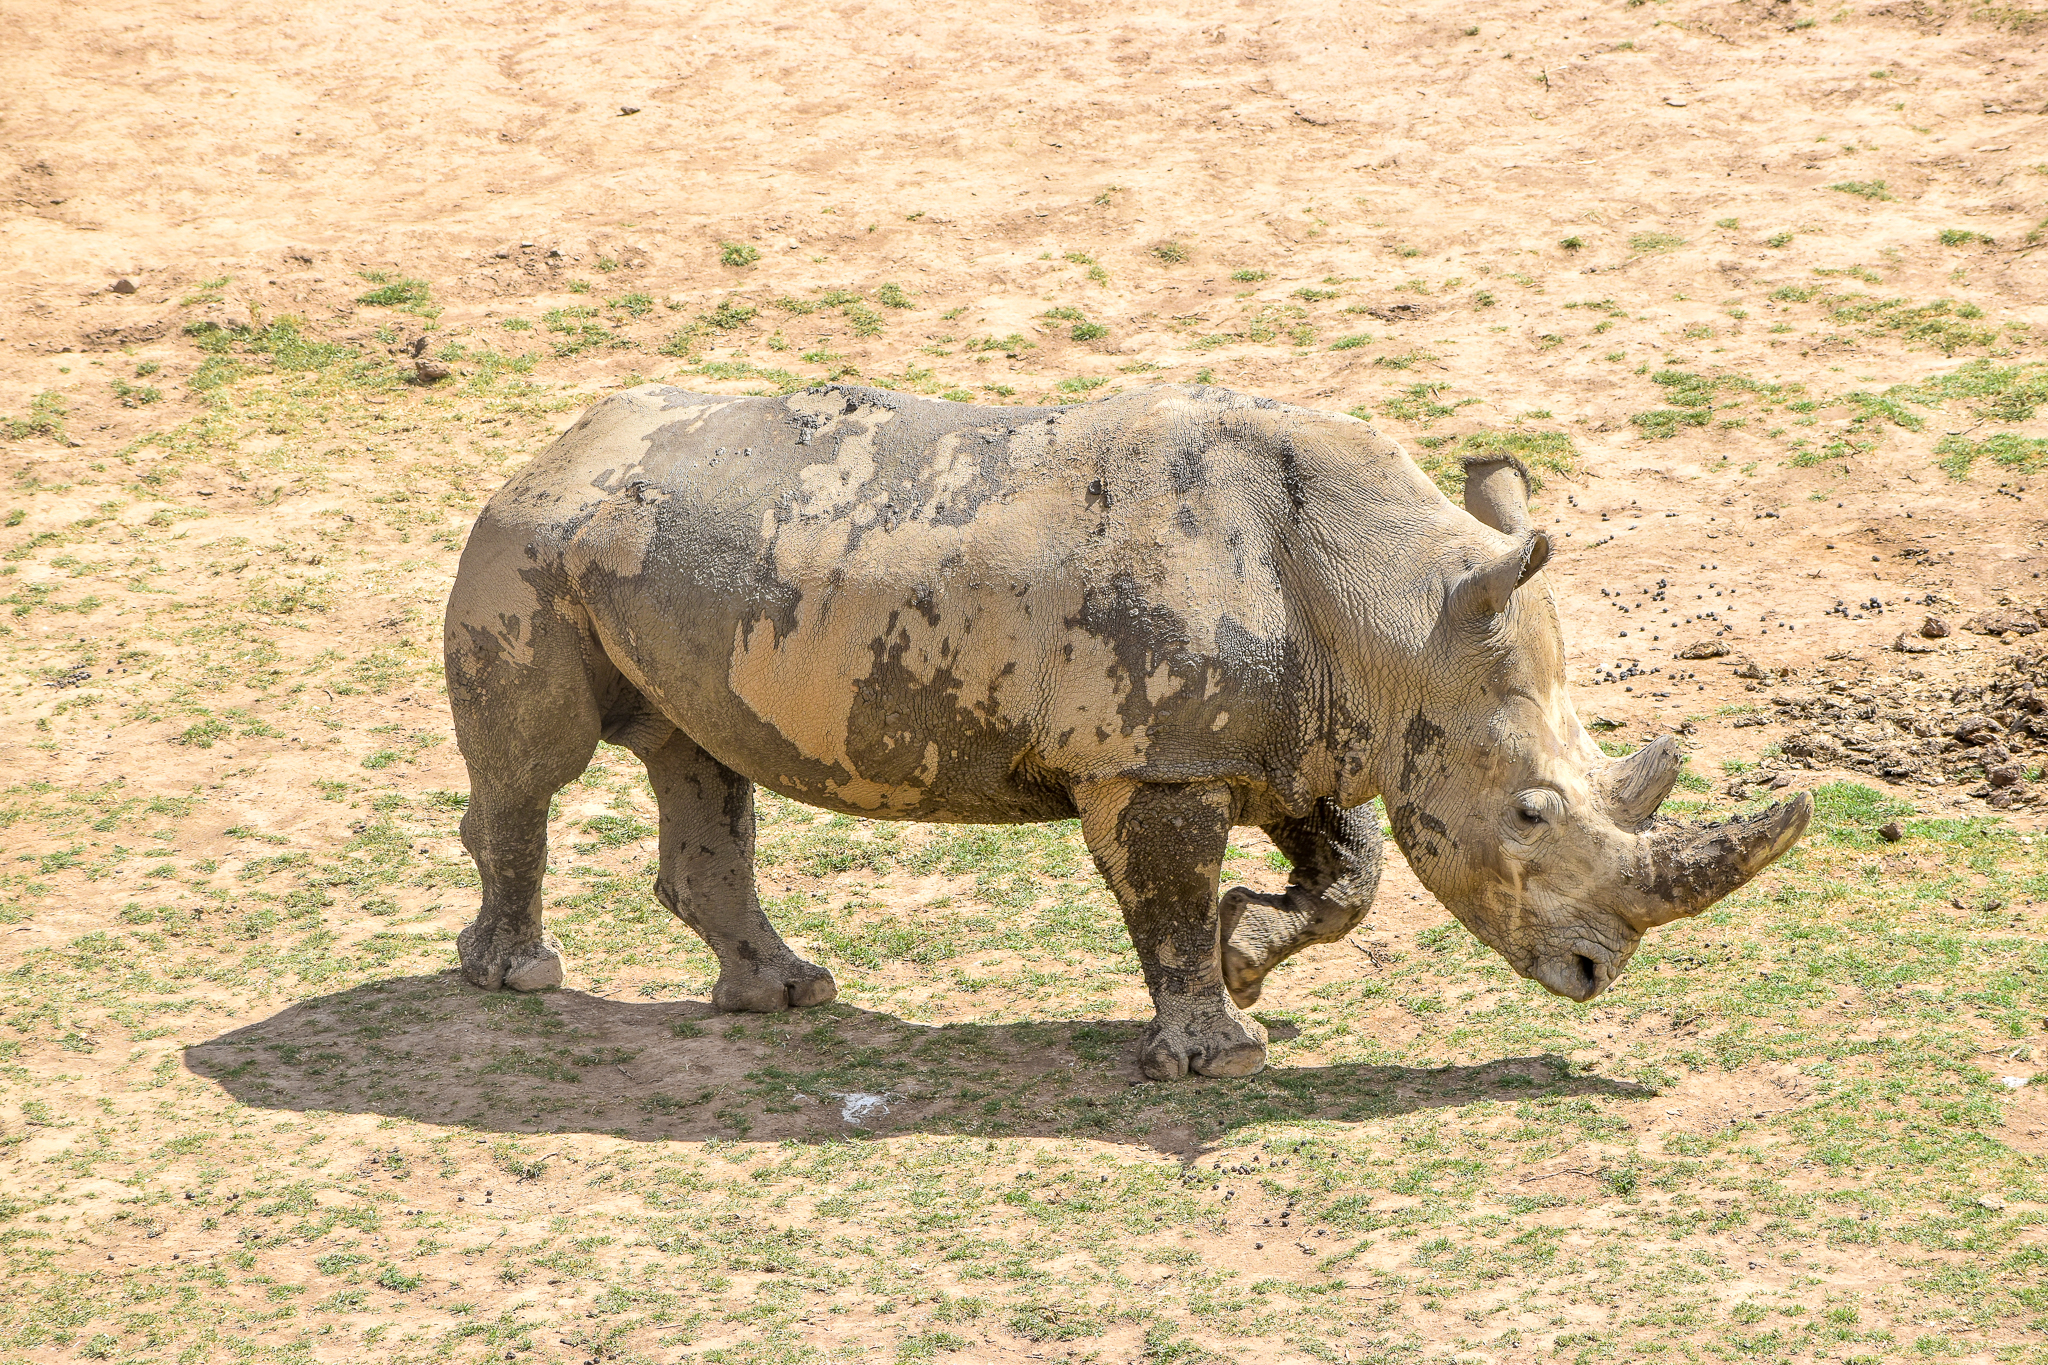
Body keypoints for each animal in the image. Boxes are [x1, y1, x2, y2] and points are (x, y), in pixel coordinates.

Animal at [443, 383, 1809, 1080]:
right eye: (1529, 811)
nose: (1591, 976)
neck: (1391, 610)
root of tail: (550, 443)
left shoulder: (1287, 731)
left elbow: (1350, 873)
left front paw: (1246, 955)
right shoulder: (1155, 760)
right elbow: (1164, 896)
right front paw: (1216, 1052)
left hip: (653, 557)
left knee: (700, 763)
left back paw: (784, 995)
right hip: (529, 544)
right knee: (540, 768)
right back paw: (518, 979)